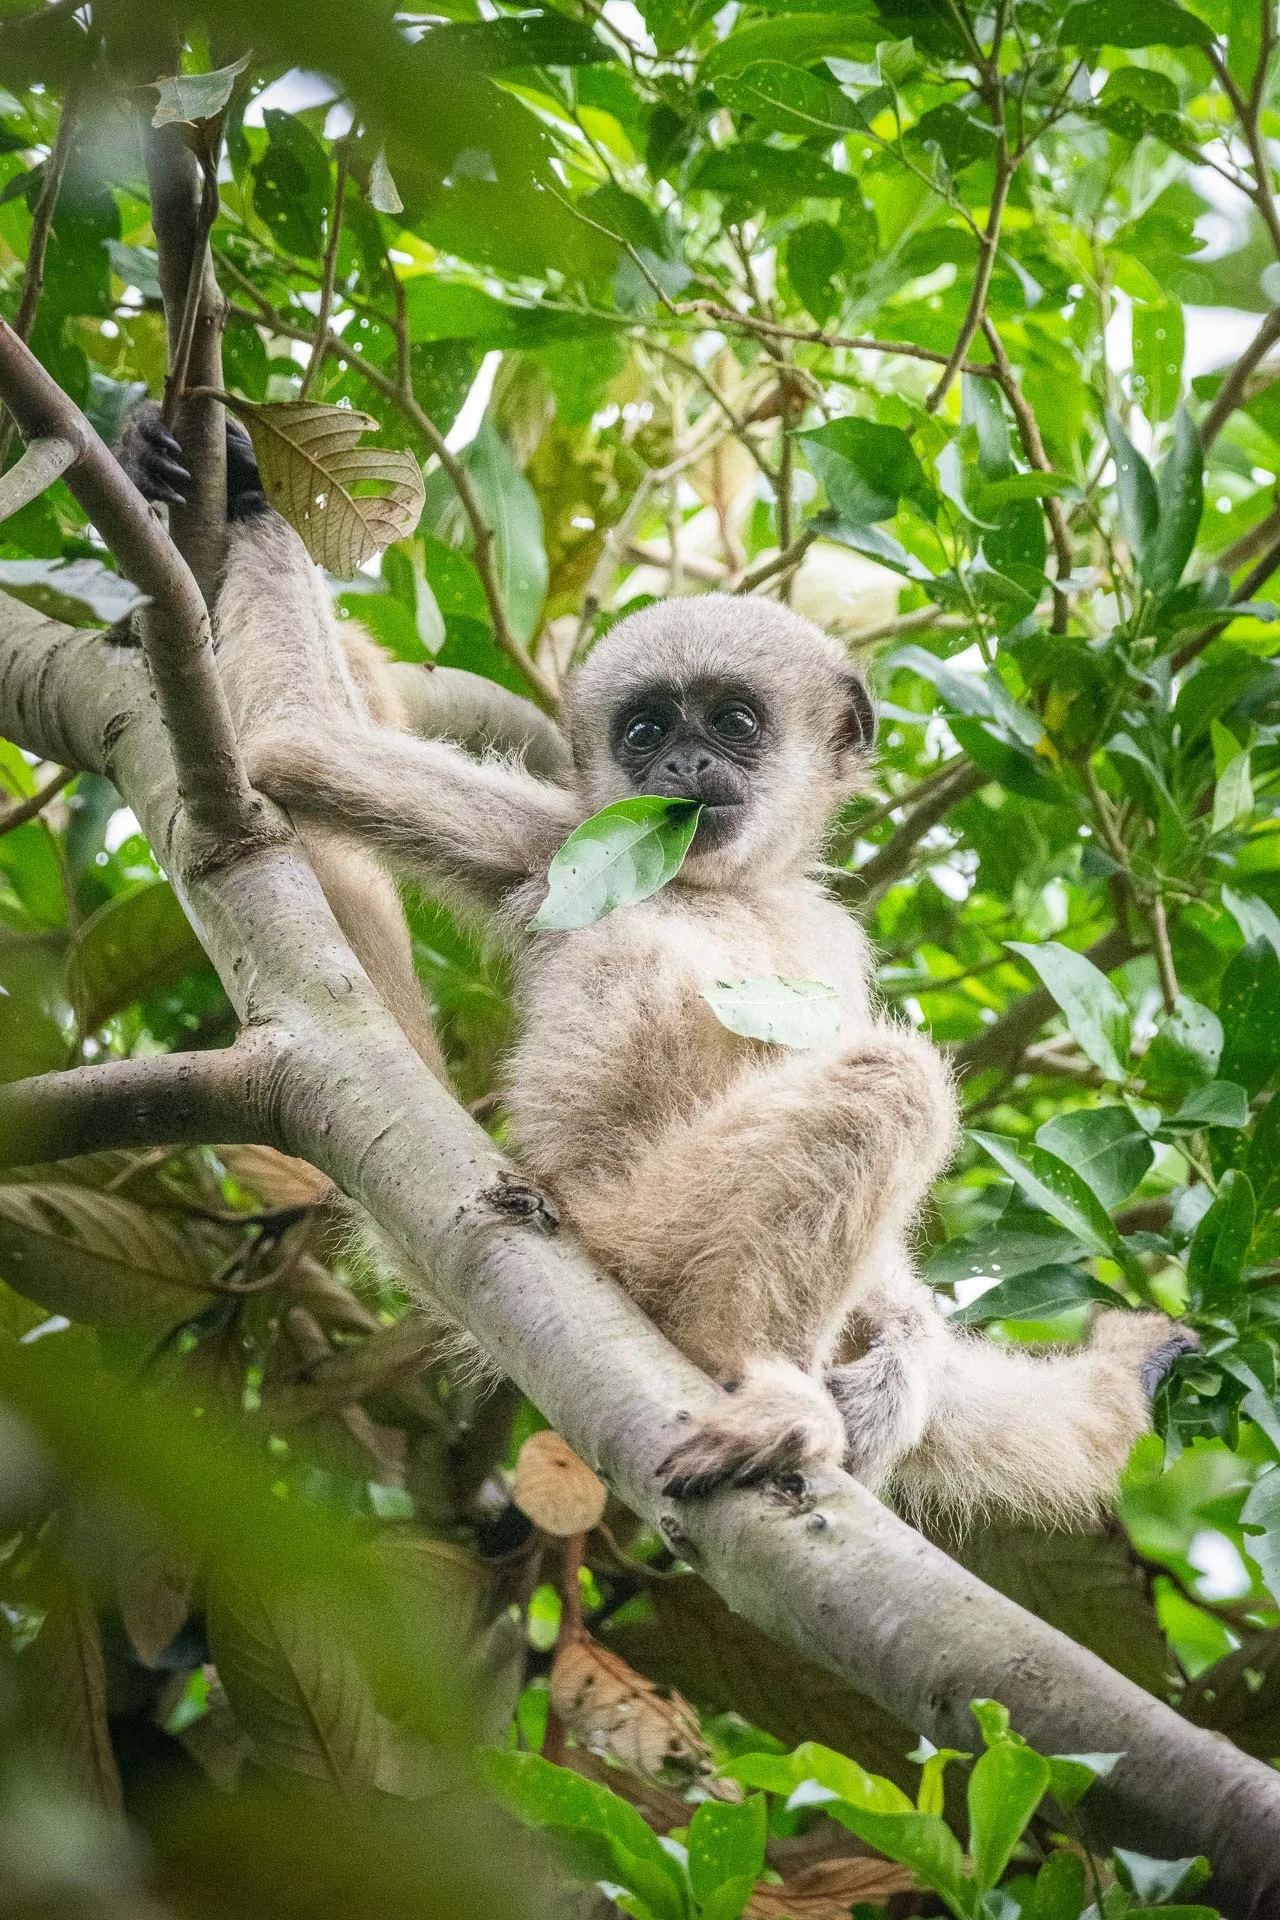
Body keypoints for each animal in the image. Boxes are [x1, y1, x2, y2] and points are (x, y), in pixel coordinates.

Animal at [115, 405, 1197, 1528]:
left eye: (732, 721)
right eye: (643, 731)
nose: (681, 764)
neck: (734, 892)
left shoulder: (827, 936)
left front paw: (909, 1359)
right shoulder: (559, 842)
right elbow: (297, 742)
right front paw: (240, 485)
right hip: (644, 1233)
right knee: (892, 1084)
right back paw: (773, 1390)